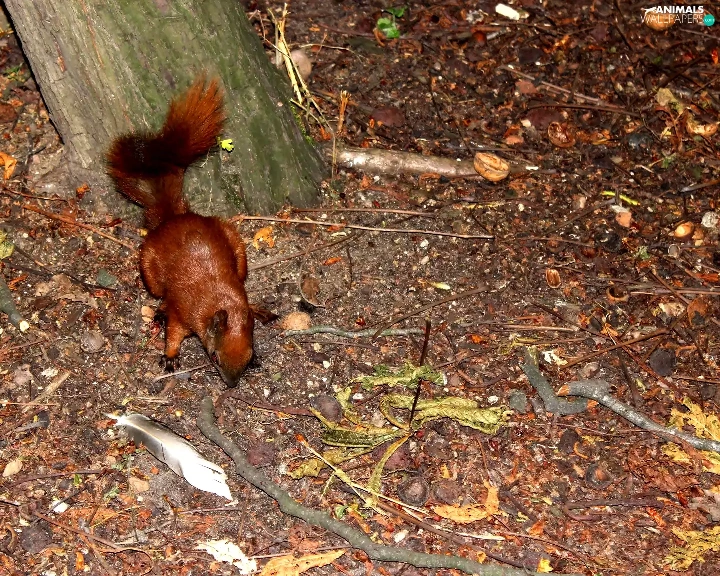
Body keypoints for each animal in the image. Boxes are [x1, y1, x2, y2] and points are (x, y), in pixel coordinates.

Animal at [107, 77, 253, 386]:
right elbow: (173, 332)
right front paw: (170, 356)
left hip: (235, 246)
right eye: (215, 357)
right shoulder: (183, 312)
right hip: (149, 267)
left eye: (250, 356)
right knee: (159, 293)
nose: (231, 384)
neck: (222, 301)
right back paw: (159, 311)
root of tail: (174, 216)